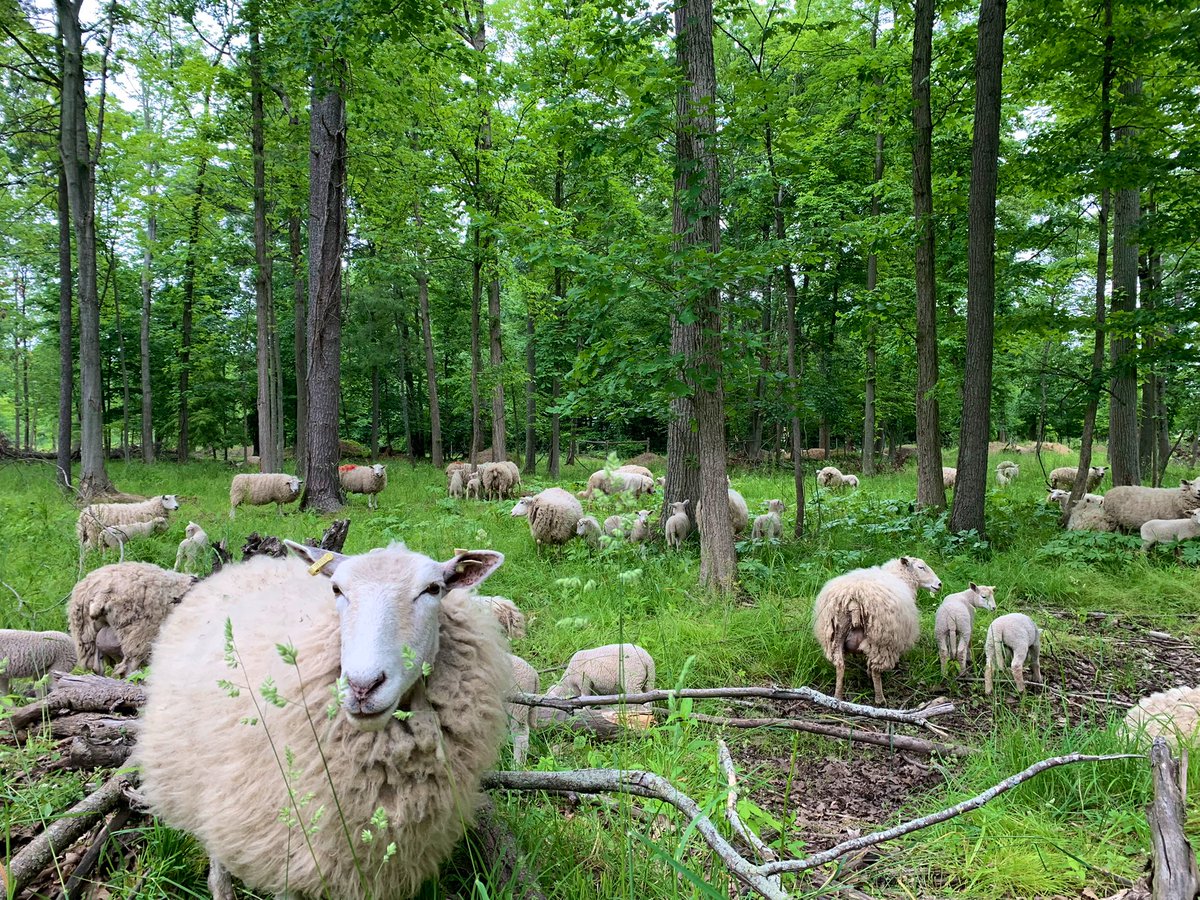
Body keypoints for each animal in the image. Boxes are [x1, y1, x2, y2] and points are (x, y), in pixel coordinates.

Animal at [812, 556, 942, 704]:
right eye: (921, 567)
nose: (939, 584)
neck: (900, 577)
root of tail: (854, 599)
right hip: (881, 639)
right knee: (875, 670)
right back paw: (880, 699)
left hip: (835, 634)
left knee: (840, 665)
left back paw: (838, 696)